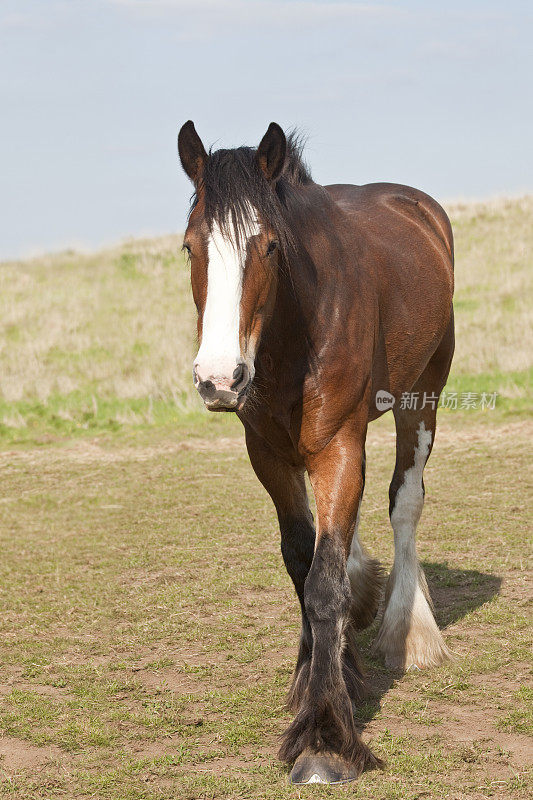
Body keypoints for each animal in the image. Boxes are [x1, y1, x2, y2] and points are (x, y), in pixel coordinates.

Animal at [178, 122, 454, 784]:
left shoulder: (339, 446)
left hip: (422, 396)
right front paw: (318, 679)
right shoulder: (269, 456)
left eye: (270, 246)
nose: (218, 378)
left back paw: (408, 630)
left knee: (406, 504)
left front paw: (325, 734)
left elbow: (324, 584)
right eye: (190, 246)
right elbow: (303, 563)